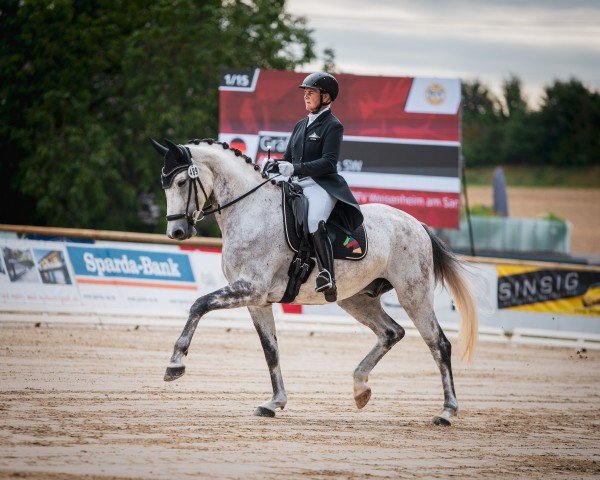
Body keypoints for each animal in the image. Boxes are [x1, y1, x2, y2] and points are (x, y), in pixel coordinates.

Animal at [151, 138, 478, 424]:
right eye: (165, 185)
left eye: (181, 183)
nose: (176, 232)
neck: (250, 210)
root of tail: (416, 224)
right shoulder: (257, 300)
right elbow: (270, 350)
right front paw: (274, 403)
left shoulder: (250, 288)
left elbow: (199, 304)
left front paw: (175, 364)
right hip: (355, 298)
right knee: (391, 332)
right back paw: (360, 388)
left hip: (413, 293)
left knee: (438, 344)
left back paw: (446, 412)